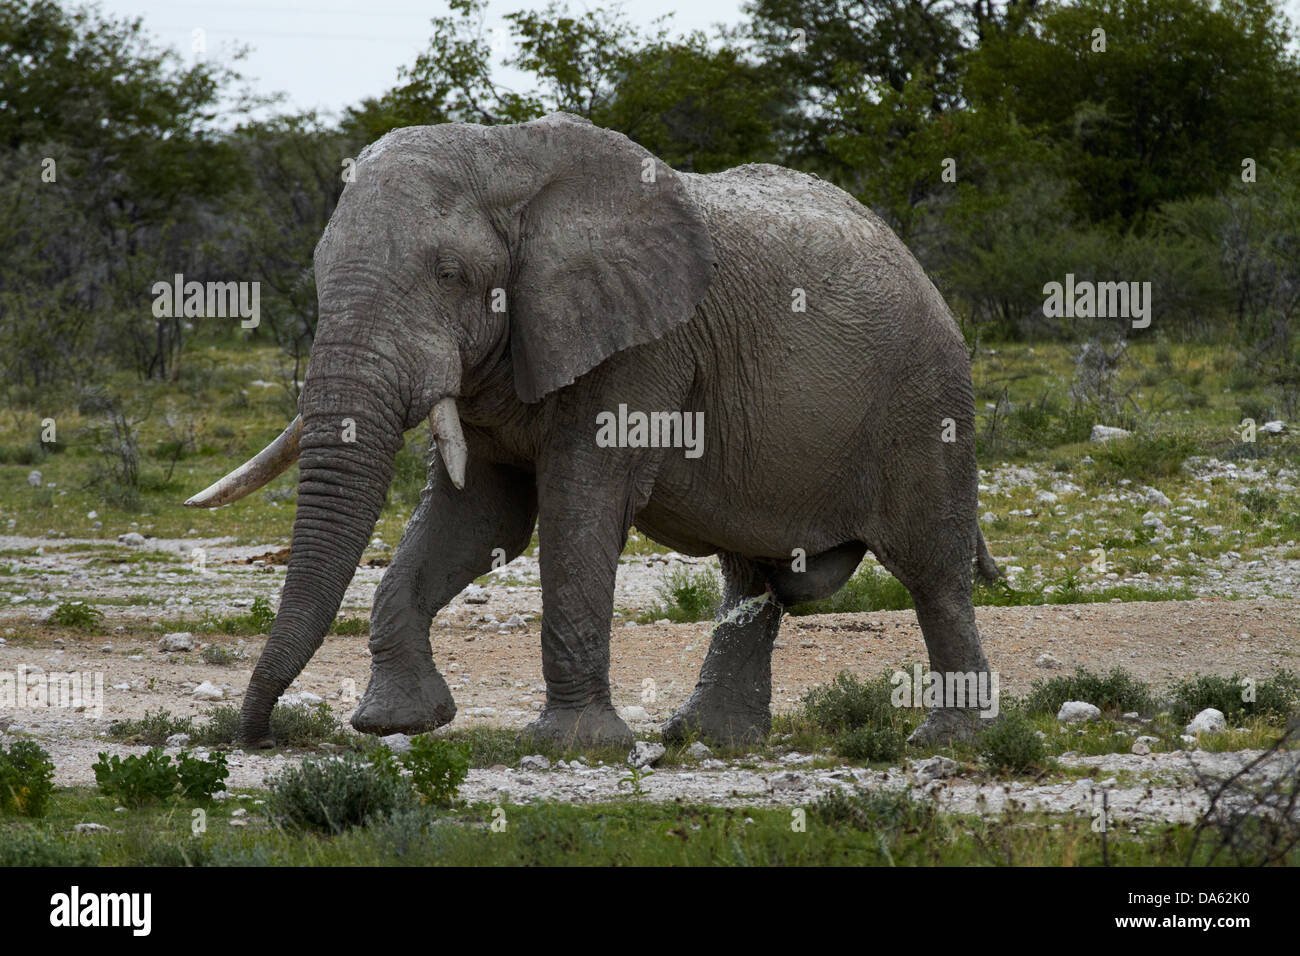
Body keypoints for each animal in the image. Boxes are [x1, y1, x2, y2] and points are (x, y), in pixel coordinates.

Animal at [188, 111, 998, 749]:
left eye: (449, 274)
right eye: (319, 268)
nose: (259, 738)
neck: (507, 158)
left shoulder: (641, 345)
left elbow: (580, 503)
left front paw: (575, 745)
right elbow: (478, 518)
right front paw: (398, 724)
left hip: (926, 397)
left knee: (932, 573)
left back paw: (949, 740)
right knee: (753, 575)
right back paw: (709, 739)